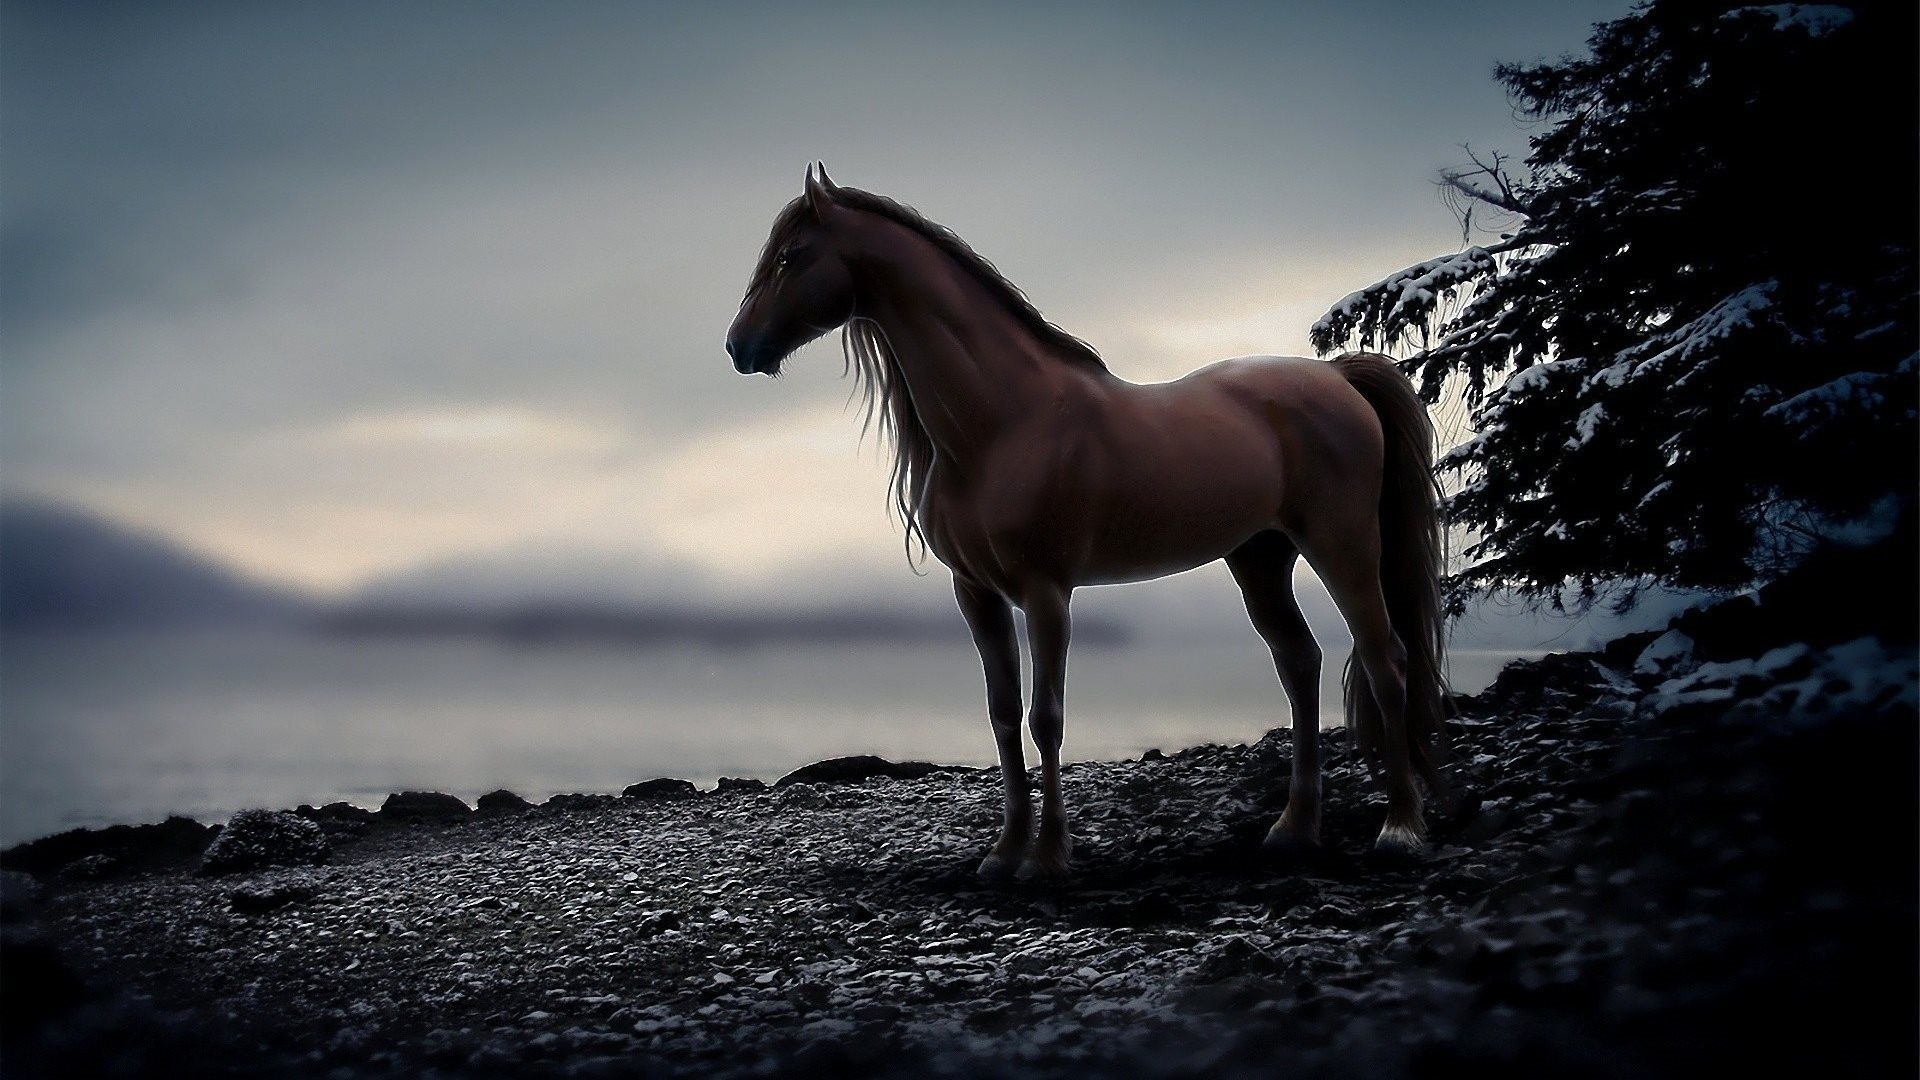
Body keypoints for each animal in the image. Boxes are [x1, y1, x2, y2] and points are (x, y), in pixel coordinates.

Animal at [725, 165, 1447, 881]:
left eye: (790, 256)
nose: (738, 345)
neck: (1004, 421)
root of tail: (1338, 378)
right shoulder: (976, 594)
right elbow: (1001, 715)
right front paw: (1004, 852)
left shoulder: (1047, 593)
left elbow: (1046, 718)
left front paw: (1046, 857)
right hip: (1259, 559)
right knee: (1299, 663)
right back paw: (1293, 830)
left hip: (1343, 545)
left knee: (1386, 661)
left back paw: (1400, 829)